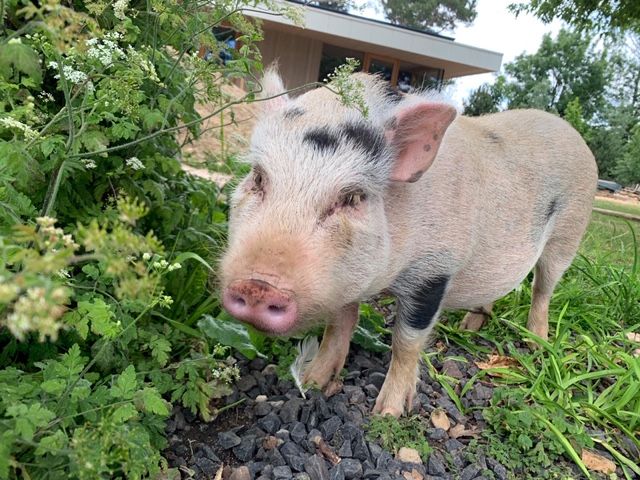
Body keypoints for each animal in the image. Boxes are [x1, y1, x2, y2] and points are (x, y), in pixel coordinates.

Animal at [219, 68, 596, 416]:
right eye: (258, 178)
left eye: (353, 198)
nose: (257, 286)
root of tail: (568, 130)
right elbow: (339, 327)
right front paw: (312, 382)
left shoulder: (436, 271)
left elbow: (407, 341)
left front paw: (387, 412)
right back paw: (469, 325)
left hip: (569, 233)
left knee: (542, 289)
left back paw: (537, 343)